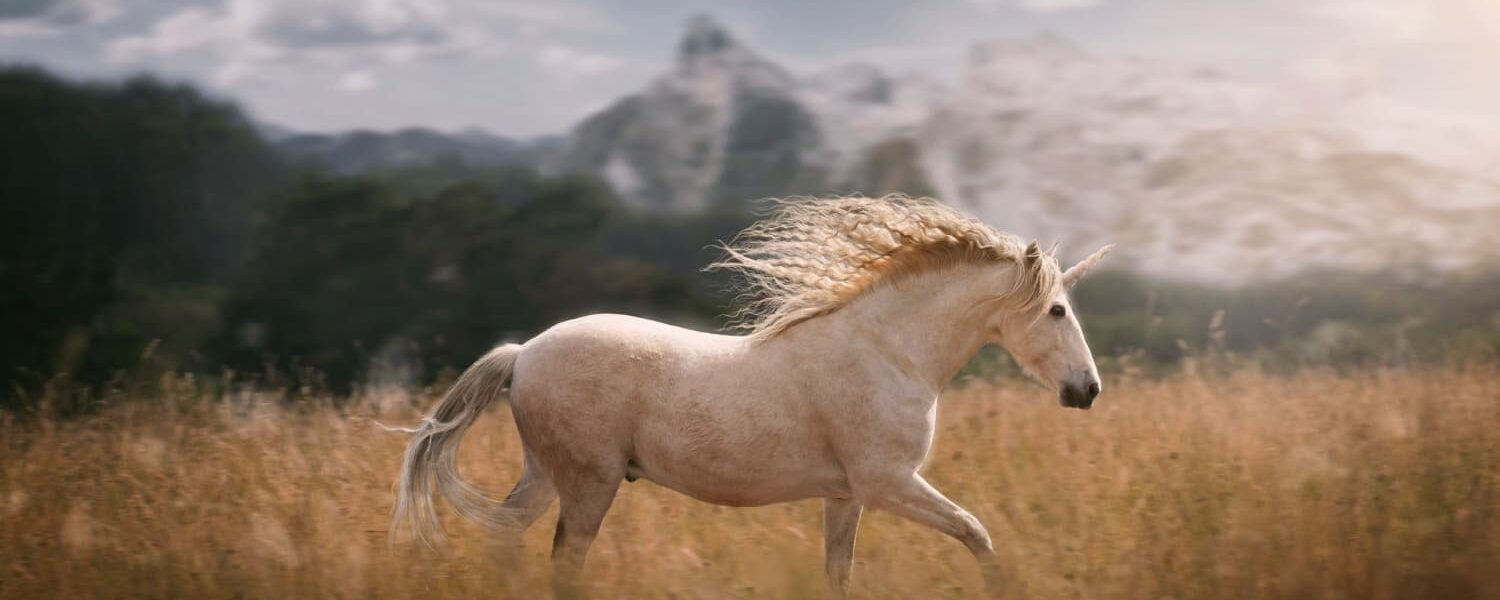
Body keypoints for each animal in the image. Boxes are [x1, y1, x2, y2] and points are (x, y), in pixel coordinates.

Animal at [389, 194, 1113, 597]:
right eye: (1056, 311)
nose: (1087, 391)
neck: (889, 351)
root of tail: (522, 354)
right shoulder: (888, 483)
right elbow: (977, 534)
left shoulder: (846, 495)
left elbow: (839, 575)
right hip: (590, 483)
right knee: (563, 565)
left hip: (549, 474)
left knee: (505, 535)